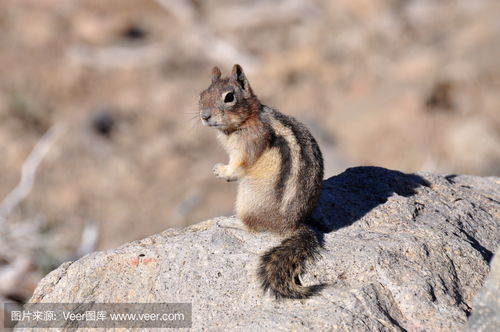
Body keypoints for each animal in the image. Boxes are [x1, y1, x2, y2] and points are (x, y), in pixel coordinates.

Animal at [199, 64, 324, 298]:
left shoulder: (248, 145)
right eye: (202, 94)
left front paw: (222, 171)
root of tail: (291, 226)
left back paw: (230, 222)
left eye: (229, 97)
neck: (248, 119)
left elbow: (239, 164)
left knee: (251, 226)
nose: (204, 116)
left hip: (248, 197)